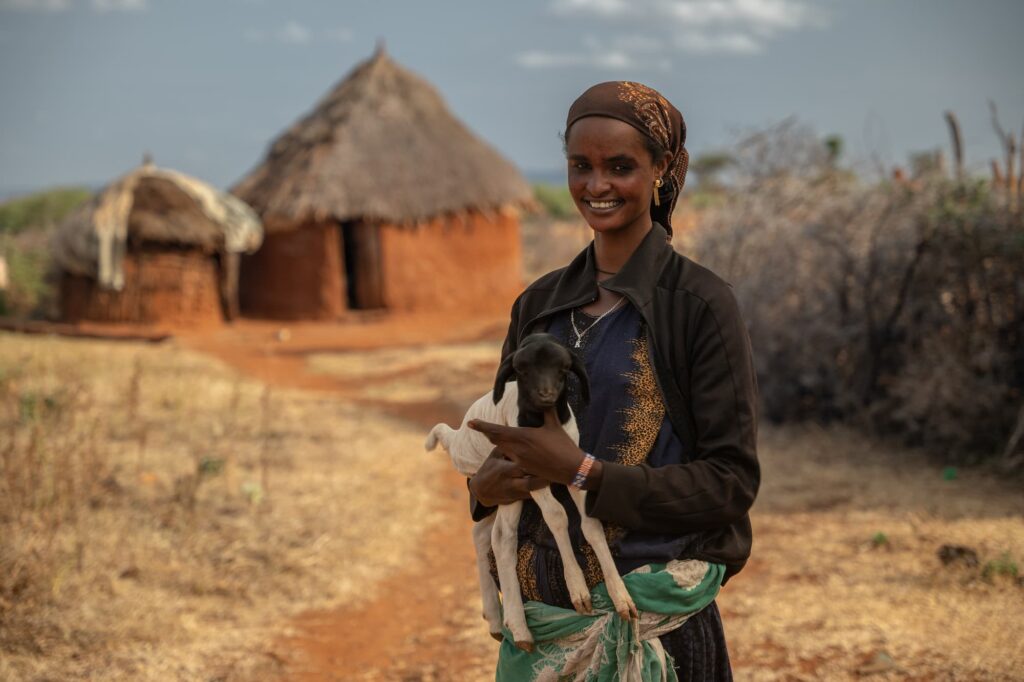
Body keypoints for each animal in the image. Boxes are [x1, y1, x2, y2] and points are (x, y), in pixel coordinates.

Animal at [425, 333, 637, 652]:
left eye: (563, 368)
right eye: (522, 370)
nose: (546, 394)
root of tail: (458, 434)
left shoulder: (573, 467)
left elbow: (590, 524)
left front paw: (620, 596)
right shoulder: (531, 475)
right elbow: (557, 517)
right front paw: (578, 589)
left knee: (486, 534)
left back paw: (496, 617)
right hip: (494, 475)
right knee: (502, 538)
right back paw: (517, 625)